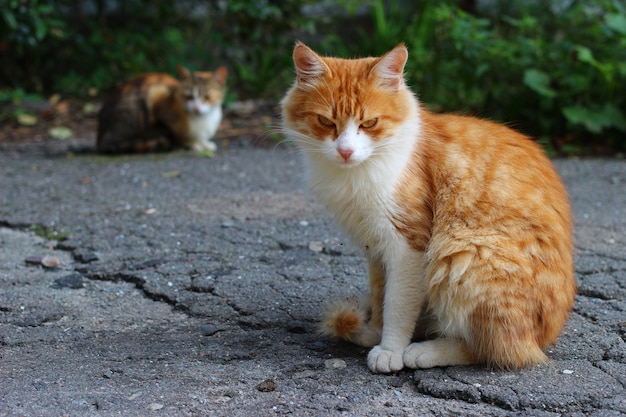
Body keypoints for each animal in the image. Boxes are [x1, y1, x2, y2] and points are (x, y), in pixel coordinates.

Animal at [96, 66, 225, 154]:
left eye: (207, 97)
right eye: (188, 97)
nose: (196, 108)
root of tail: (99, 139)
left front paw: (204, 143)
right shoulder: (157, 95)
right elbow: (177, 135)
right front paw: (191, 144)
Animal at [280, 43, 572, 374]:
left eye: (369, 124)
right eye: (327, 122)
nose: (345, 151)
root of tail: (546, 337)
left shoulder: (408, 243)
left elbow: (398, 304)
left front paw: (390, 350)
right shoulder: (375, 247)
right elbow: (381, 295)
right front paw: (374, 331)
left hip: (462, 252)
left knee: (501, 350)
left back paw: (425, 351)